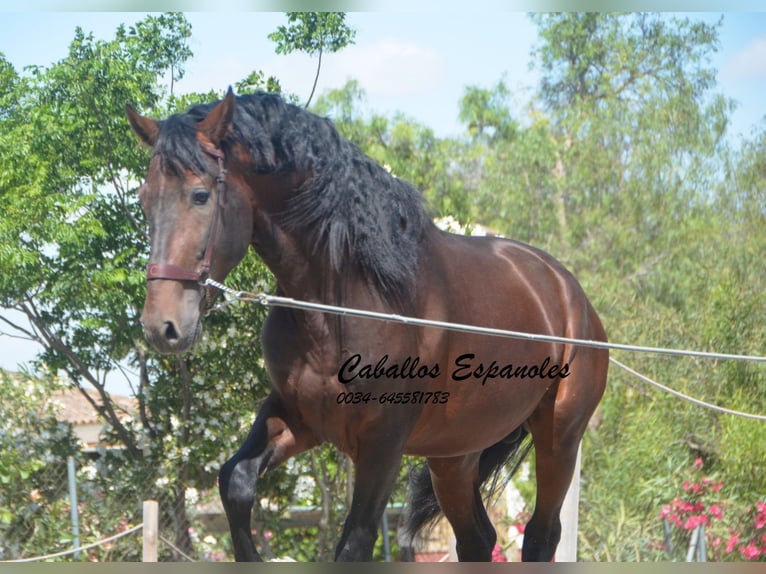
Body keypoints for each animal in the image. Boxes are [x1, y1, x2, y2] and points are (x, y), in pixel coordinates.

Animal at [127, 90, 608, 564]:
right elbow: (236, 482)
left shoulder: (382, 445)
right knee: (477, 539)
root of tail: (567, 290)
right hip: (454, 455)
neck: (344, 303)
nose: (161, 325)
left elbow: (355, 542)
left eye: (200, 195)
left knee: (541, 536)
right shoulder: (297, 417)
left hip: (558, 438)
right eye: (144, 198)